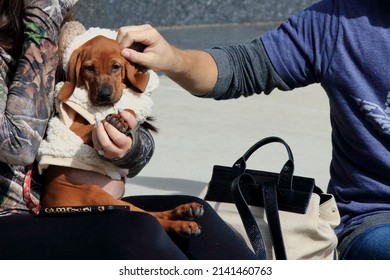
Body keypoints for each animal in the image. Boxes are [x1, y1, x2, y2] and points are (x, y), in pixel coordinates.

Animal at [40, 34, 203, 236]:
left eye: (116, 67)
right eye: (89, 68)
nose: (104, 95)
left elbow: (128, 110)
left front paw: (121, 120)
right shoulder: (74, 128)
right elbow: (95, 125)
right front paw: (112, 121)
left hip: (118, 202)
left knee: (151, 213)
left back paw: (186, 210)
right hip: (97, 195)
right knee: (150, 217)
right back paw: (183, 223)